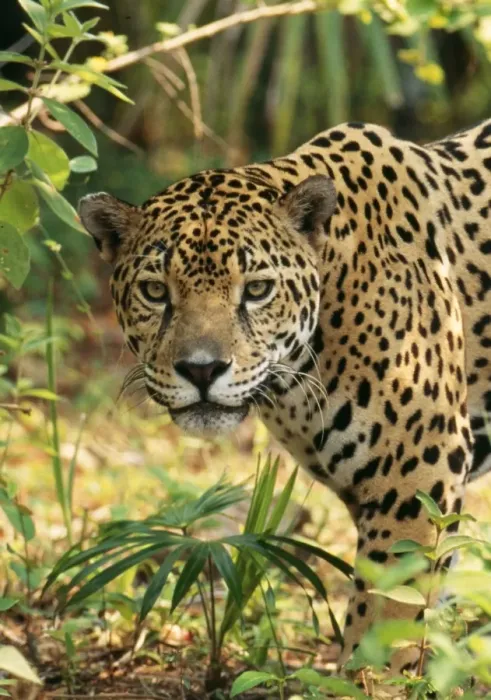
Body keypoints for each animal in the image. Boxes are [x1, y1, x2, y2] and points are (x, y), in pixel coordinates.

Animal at [79, 119, 491, 675]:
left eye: (256, 290)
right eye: (155, 291)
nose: (202, 369)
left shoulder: (418, 472)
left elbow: (388, 617)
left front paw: (369, 679)